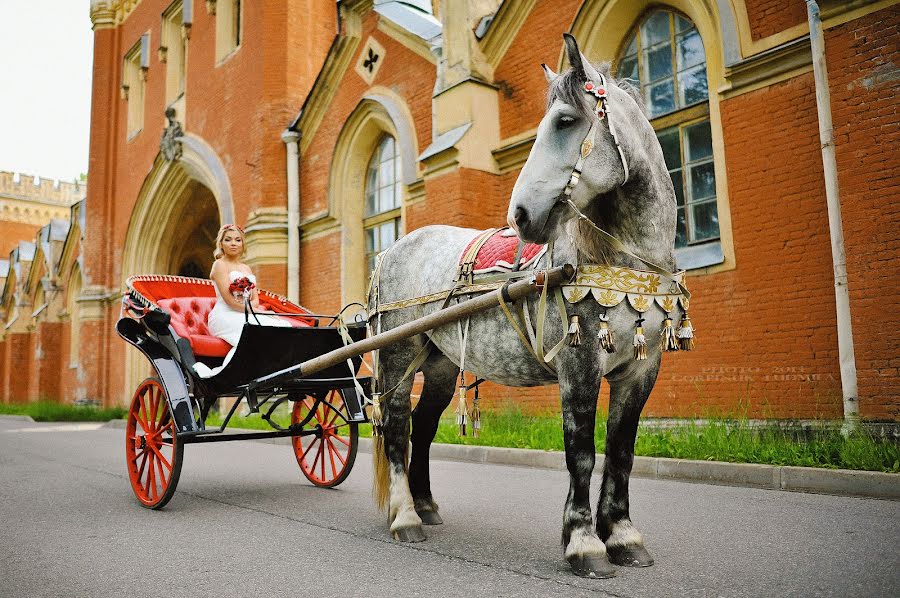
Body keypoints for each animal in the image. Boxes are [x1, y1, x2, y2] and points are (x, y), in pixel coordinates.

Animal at [370, 35, 680, 580]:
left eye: (565, 121)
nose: (520, 215)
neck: (627, 262)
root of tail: (392, 249)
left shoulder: (641, 370)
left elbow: (621, 451)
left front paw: (623, 536)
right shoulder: (579, 365)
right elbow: (582, 452)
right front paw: (584, 544)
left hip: (441, 364)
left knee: (423, 429)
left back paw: (425, 506)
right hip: (398, 355)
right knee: (397, 427)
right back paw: (405, 516)